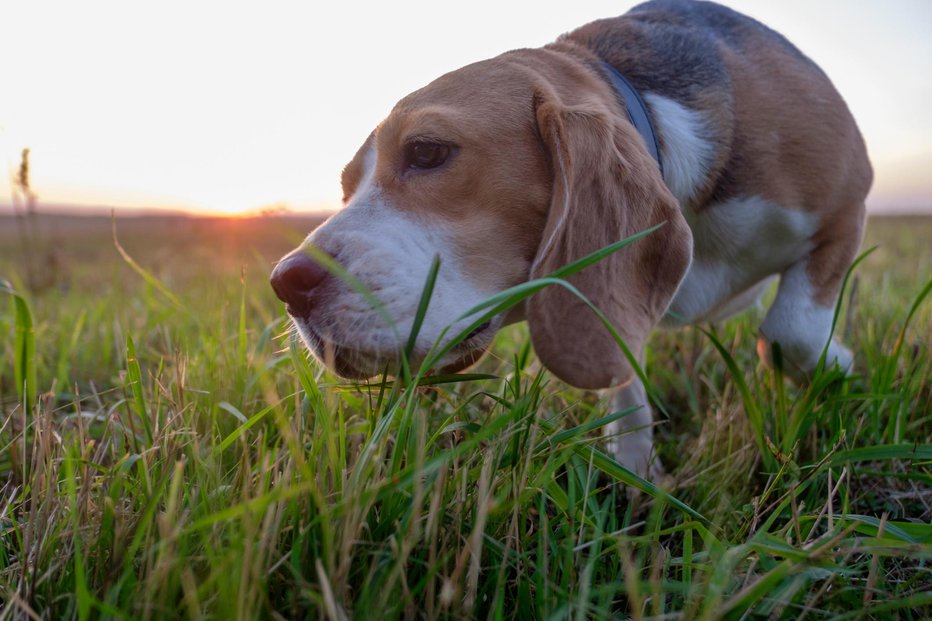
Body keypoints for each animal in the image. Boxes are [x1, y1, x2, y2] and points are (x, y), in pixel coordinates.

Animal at [270, 0, 872, 478]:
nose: (286, 284)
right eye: (346, 188)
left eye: (427, 152)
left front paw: (838, 367)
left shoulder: (848, 204)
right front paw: (635, 469)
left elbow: (790, 332)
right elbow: (623, 371)